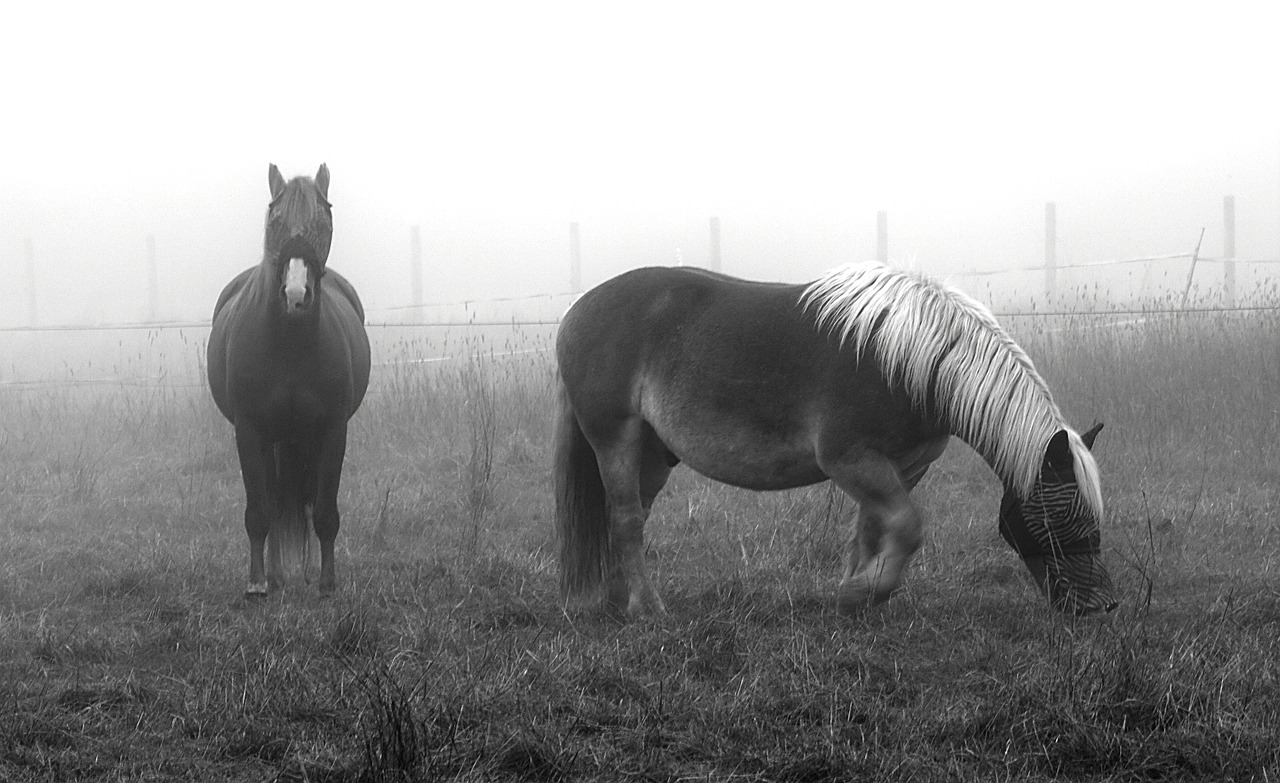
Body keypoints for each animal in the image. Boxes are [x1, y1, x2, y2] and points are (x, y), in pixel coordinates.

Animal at [207, 163, 371, 593]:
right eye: (275, 219)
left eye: (324, 219)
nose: (296, 295)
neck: (290, 345)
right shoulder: (250, 431)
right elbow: (260, 511)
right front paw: (257, 583)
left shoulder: (332, 431)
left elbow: (325, 511)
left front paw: (327, 583)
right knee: (277, 501)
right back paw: (277, 575)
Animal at [555, 263, 1116, 616]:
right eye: (1065, 522)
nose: (1100, 605)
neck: (910, 360)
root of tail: (575, 312)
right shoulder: (849, 460)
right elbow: (908, 526)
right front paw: (859, 594)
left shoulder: (900, 467)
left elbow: (872, 529)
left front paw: (860, 596)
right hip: (615, 438)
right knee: (626, 521)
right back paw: (648, 609)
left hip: (653, 453)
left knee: (625, 517)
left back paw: (618, 602)